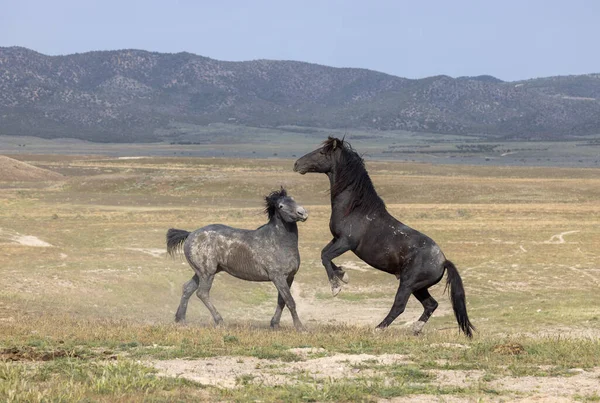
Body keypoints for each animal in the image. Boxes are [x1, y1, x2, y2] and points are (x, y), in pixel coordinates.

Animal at [168, 189, 310, 332]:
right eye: (281, 206)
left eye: (293, 199)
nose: (302, 213)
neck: (278, 241)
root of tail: (190, 234)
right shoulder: (278, 277)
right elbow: (290, 301)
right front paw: (300, 327)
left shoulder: (289, 277)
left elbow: (281, 301)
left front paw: (275, 324)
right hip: (207, 273)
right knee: (202, 293)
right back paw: (220, 321)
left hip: (201, 273)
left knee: (187, 288)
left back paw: (181, 320)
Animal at [294, 138, 474, 338]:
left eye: (321, 153)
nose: (297, 164)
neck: (355, 209)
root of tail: (443, 261)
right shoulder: (337, 240)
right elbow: (324, 254)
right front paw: (343, 275)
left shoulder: (346, 242)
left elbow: (325, 257)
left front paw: (336, 287)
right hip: (419, 288)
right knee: (431, 304)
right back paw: (415, 329)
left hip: (408, 284)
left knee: (399, 306)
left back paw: (378, 328)